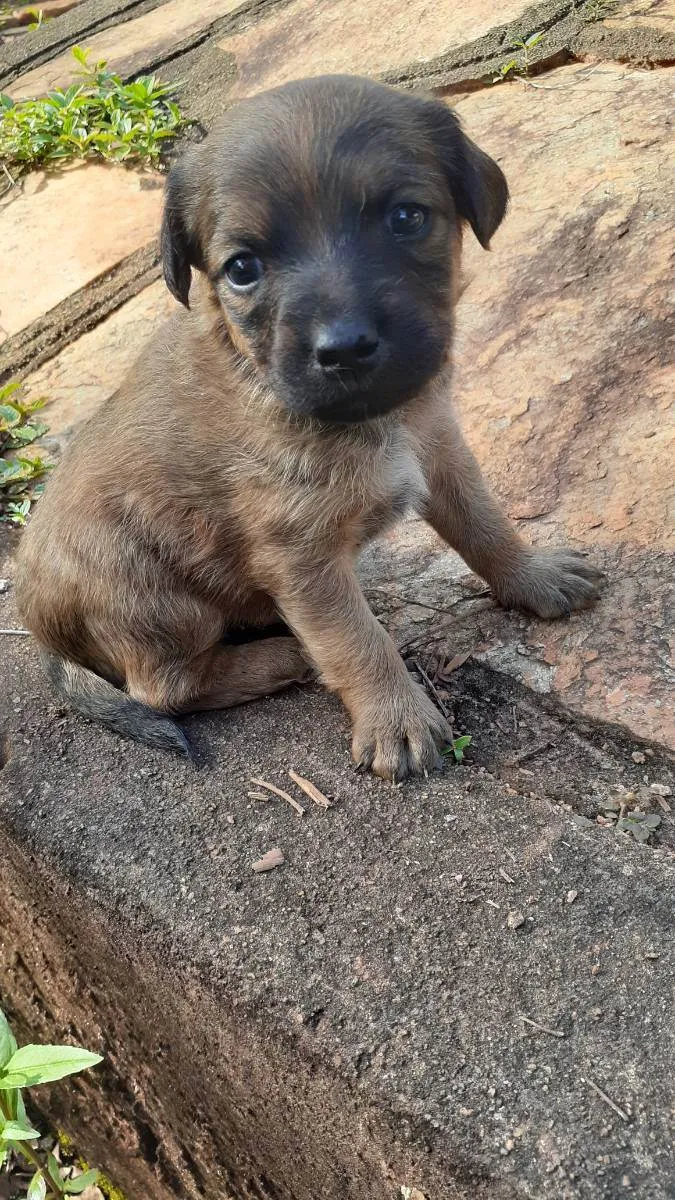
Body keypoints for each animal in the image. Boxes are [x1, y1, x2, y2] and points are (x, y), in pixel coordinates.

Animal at [15, 75, 600, 777]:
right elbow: (356, 639)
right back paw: (282, 656)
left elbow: (486, 528)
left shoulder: (442, 454)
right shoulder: (300, 557)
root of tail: (42, 632)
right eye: (242, 268)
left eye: (407, 218)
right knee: (164, 688)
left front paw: (533, 575)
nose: (343, 348)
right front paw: (395, 718)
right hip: (154, 596)